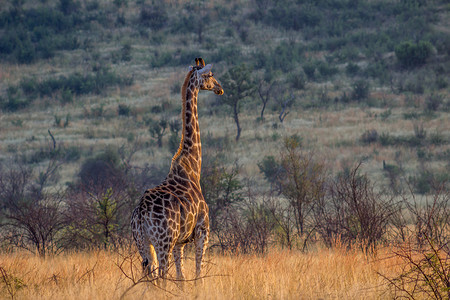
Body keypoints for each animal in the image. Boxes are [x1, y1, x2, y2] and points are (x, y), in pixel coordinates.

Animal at [130, 57, 223, 282]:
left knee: (150, 276)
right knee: (162, 275)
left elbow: (181, 278)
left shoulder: (180, 242)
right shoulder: (203, 231)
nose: (220, 88)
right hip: (163, 241)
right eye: (210, 75)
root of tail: (141, 214)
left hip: (143, 243)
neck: (193, 168)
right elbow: (197, 273)